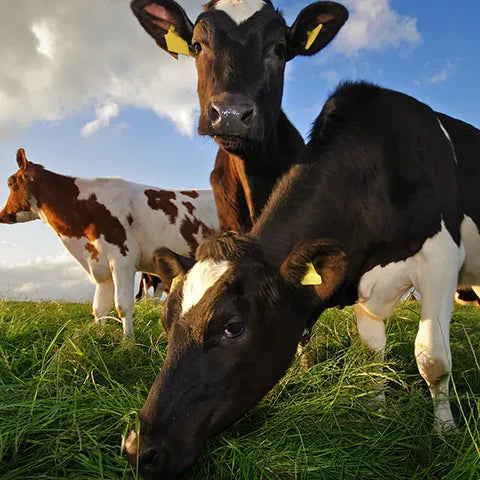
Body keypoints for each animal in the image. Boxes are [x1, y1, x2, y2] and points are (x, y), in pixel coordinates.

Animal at [0, 148, 216, 340]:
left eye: (10, 183)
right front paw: (99, 337)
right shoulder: (100, 264)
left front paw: (128, 343)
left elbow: (123, 305)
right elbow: (99, 308)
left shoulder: (123, 258)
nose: (2, 215)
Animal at [125, 80, 480, 478]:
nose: (138, 449)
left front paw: (445, 432)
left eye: (233, 327)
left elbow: (432, 359)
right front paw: (377, 410)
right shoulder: (363, 285)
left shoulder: (441, 258)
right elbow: (374, 354)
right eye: (165, 321)